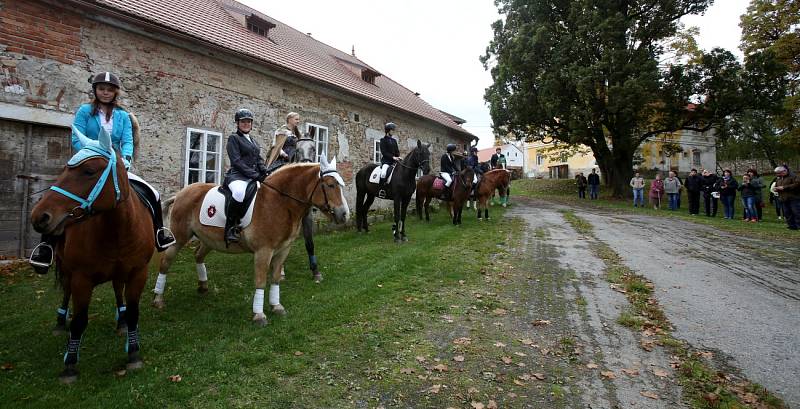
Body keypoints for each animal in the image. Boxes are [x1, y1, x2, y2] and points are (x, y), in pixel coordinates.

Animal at [29, 127, 153, 382]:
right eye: (64, 169)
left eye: (89, 171)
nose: (39, 216)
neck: (116, 229)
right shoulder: (81, 279)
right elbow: (78, 321)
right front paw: (69, 365)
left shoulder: (138, 272)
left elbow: (134, 312)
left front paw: (133, 353)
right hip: (67, 269)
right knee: (66, 291)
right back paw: (60, 322)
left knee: (117, 289)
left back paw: (121, 321)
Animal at [152, 157, 348, 326]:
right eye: (330, 185)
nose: (344, 214)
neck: (280, 201)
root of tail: (181, 193)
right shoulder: (264, 251)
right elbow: (261, 280)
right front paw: (259, 315)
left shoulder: (283, 250)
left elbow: (275, 278)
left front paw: (277, 306)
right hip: (179, 239)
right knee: (165, 263)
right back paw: (158, 299)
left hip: (209, 240)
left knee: (198, 255)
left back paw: (203, 286)